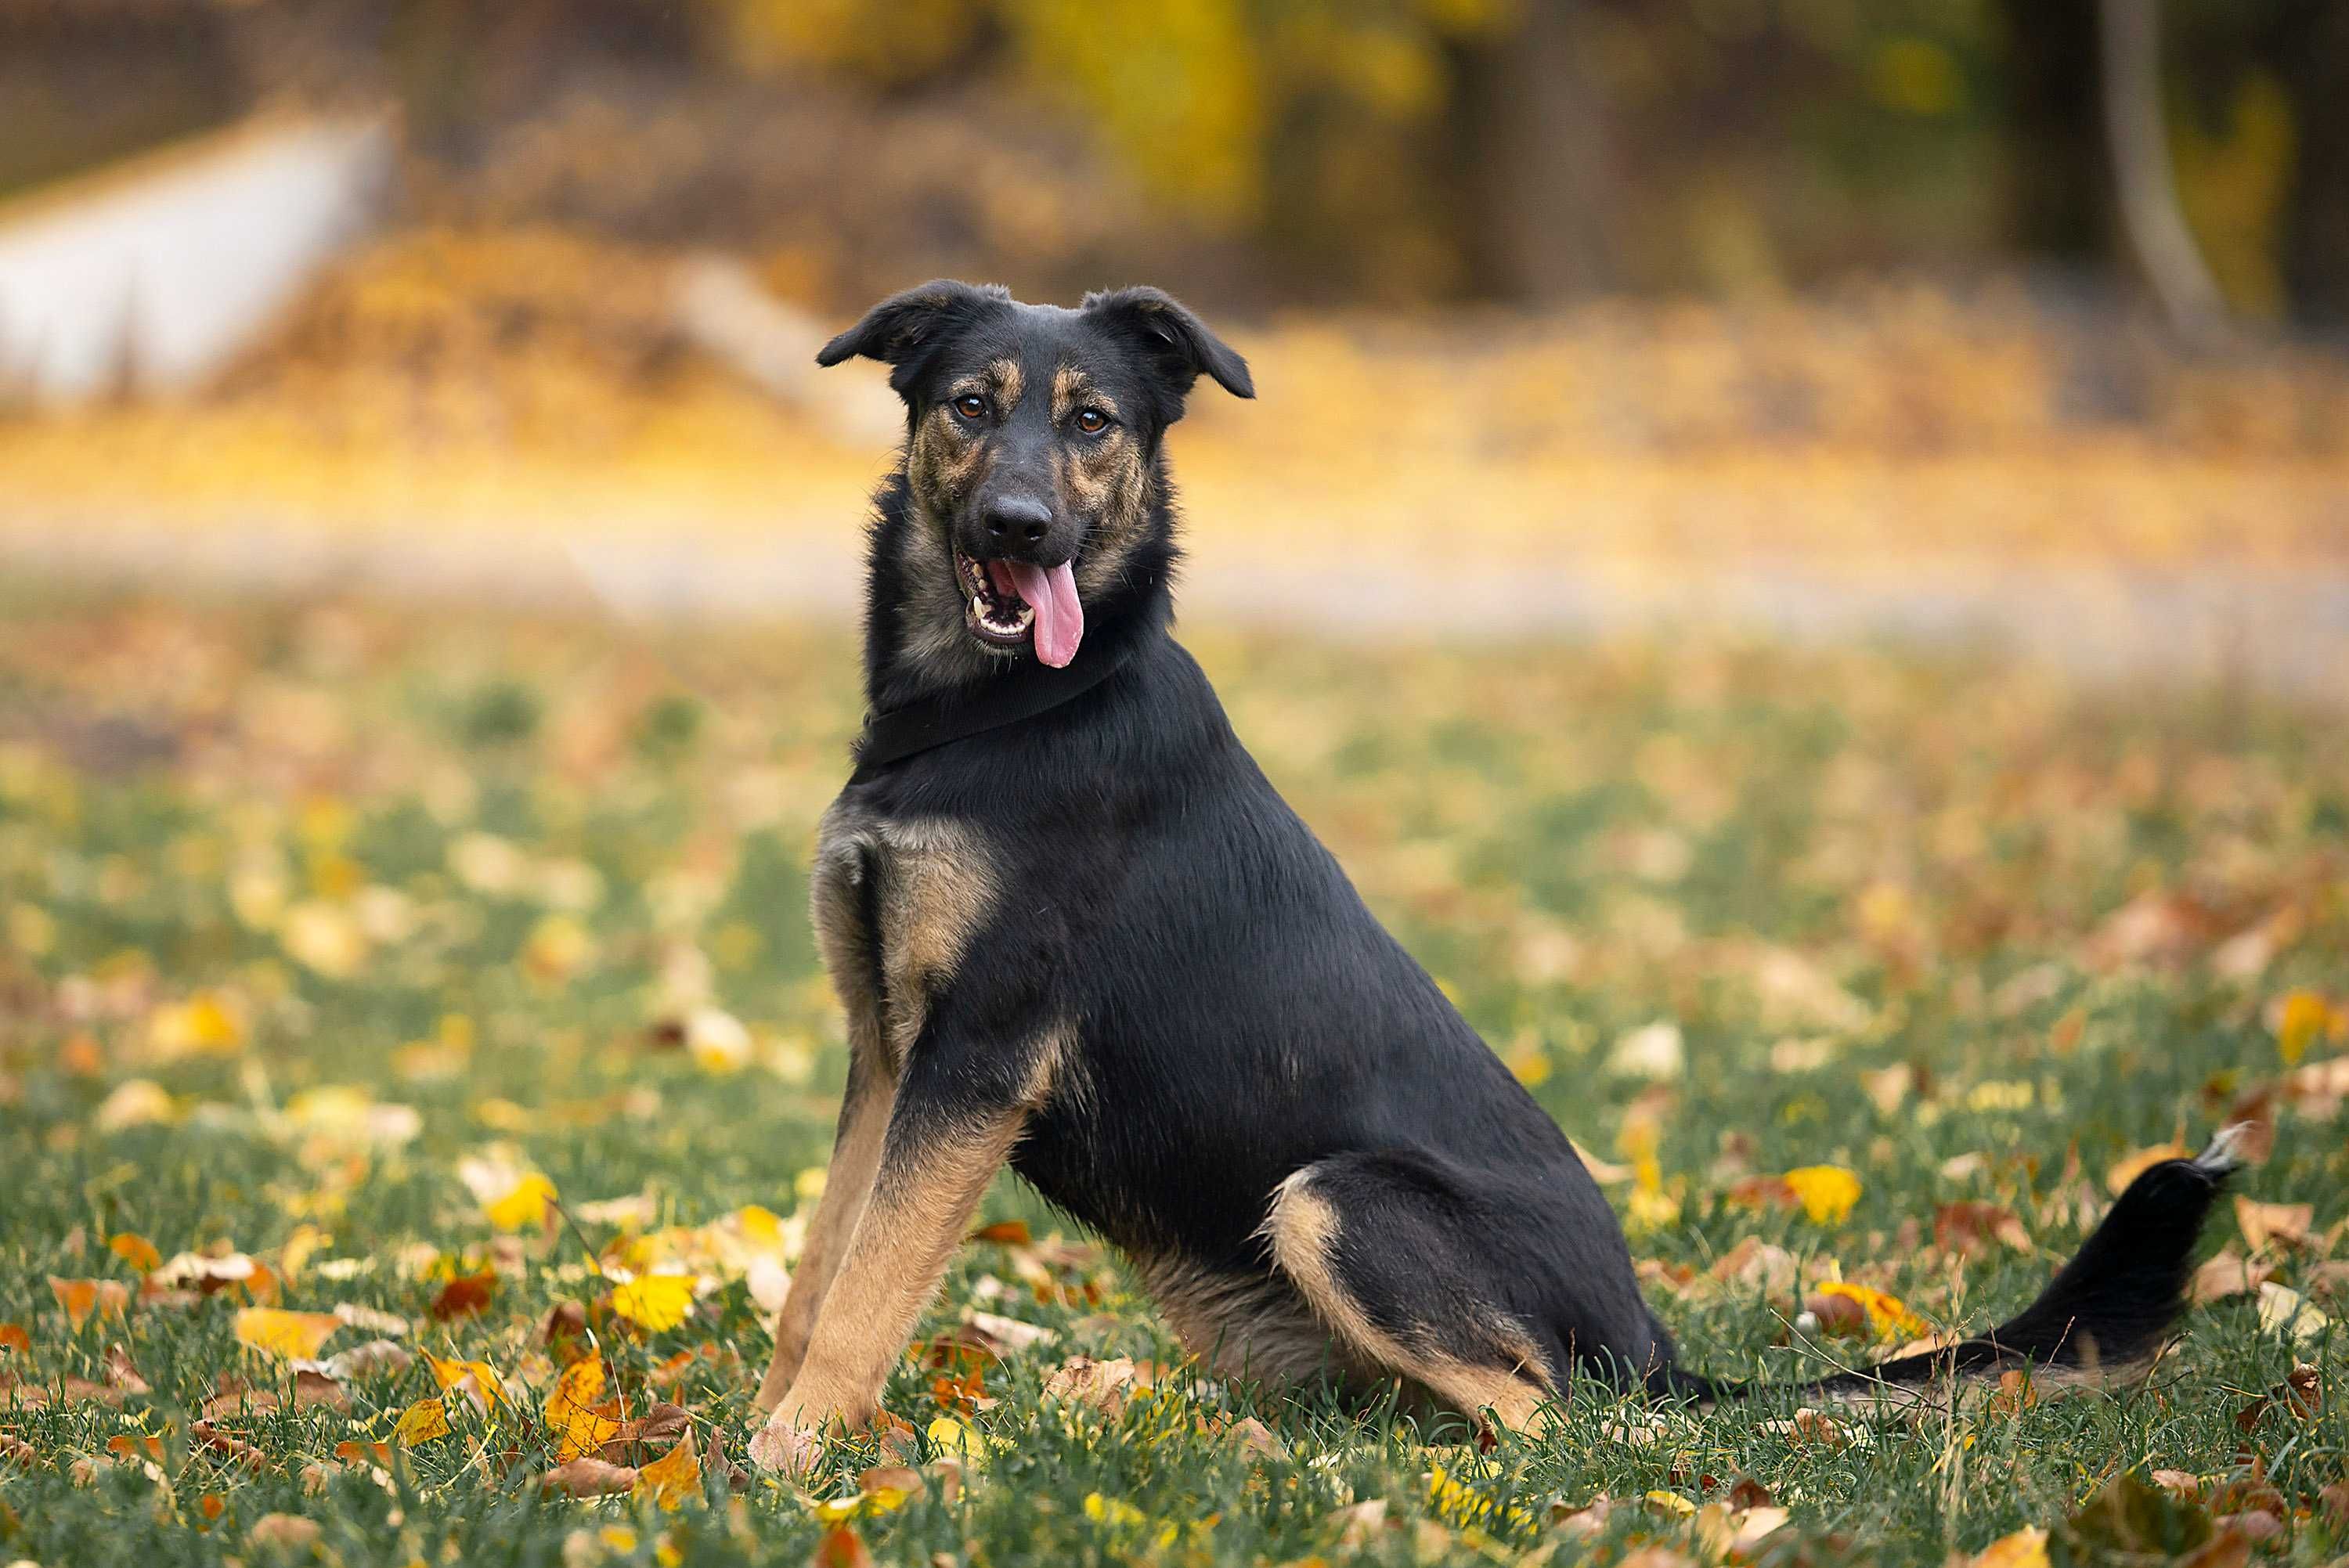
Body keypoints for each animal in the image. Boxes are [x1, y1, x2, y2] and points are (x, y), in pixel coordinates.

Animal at [742, 278, 2227, 1474]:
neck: (992, 715)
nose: (1022, 527)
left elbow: (866, 1287)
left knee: (1560, 1419)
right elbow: (823, 1267)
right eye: (971, 405)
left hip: (1338, 1198)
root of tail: (1656, 1349)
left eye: (1094, 421)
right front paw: (747, 1440)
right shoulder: (890, 1051)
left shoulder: (978, 1059)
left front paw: (794, 1454)